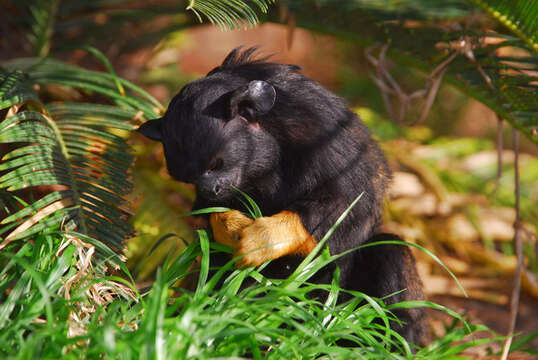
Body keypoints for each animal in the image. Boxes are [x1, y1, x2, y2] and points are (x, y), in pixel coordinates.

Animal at [139, 46, 428, 344]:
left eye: (215, 165)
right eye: (190, 178)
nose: (210, 188)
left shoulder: (325, 135)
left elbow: (348, 210)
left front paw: (265, 237)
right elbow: (208, 215)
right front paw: (227, 225)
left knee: (390, 250)